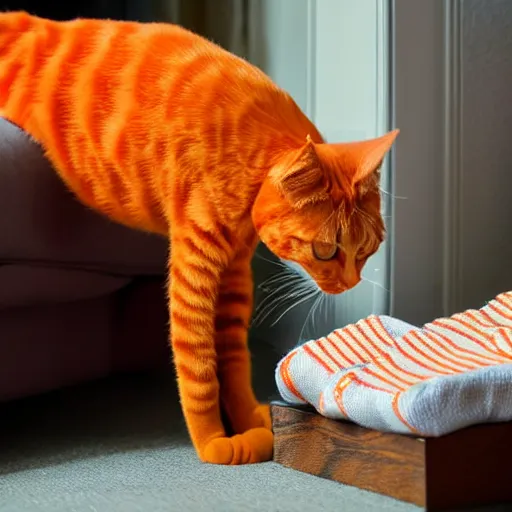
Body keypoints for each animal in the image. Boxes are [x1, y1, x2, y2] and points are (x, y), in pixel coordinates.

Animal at [0, 11, 400, 464]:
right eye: (326, 251)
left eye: (366, 250)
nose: (350, 283)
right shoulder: (195, 269)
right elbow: (198, 366)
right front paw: (212, 440)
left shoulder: (235, 276)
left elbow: (233, 360)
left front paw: (251, 420)